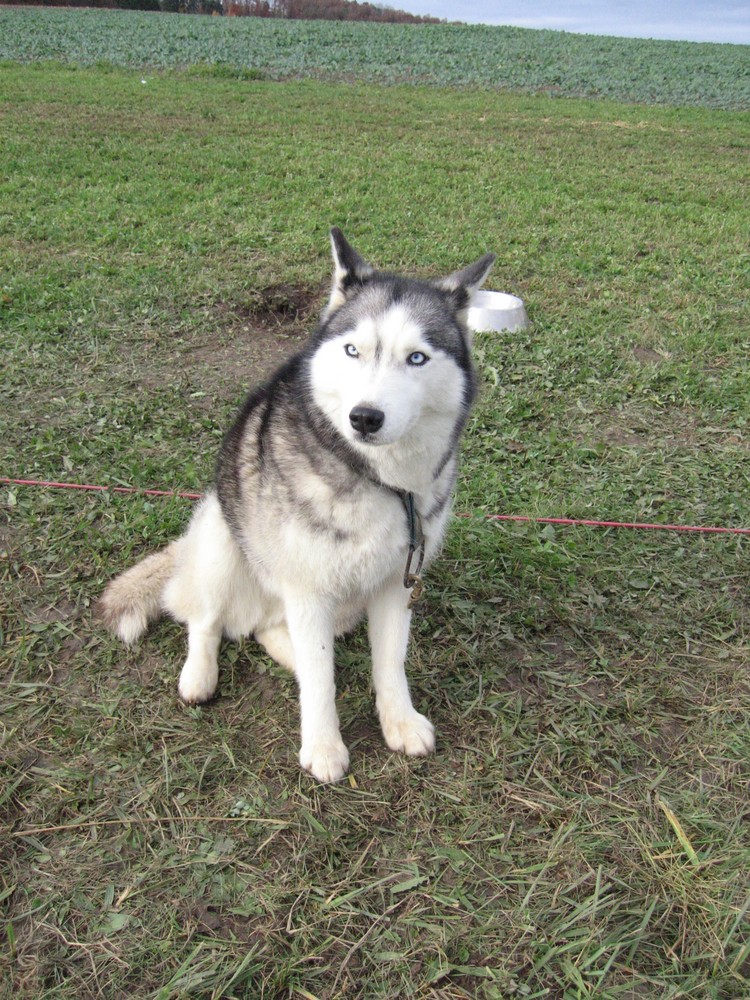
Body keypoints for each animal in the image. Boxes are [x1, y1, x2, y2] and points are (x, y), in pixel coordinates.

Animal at [103, 230, 496, 784]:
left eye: (416, 358)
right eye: (353, 350)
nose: (364, 417)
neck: (378, 480)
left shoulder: (395, 582)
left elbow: (389, 664)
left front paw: (399, 722)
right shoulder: (309, 589)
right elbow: (319, 681)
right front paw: (324, 747)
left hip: (333, 604)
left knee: (269, 632)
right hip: (222, 537)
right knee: (206, 621)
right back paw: (200, 674)